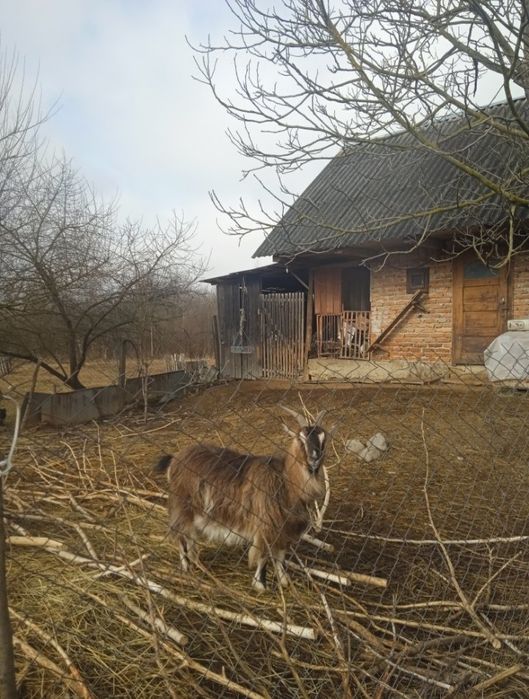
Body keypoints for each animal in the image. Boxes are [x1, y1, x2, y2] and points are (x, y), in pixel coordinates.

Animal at [154, 407, 328, 591]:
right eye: (301, 438)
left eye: (324, 438)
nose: (315, 458)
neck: (285, 481)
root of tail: (174, 459)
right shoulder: (265, 524)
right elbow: (263, 556)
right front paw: (260, 585)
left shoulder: (283, 528)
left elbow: (279, 555)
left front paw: (284, 581)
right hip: (181, 506)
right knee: (180, 535)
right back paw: (186, 567)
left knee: (187, 537)